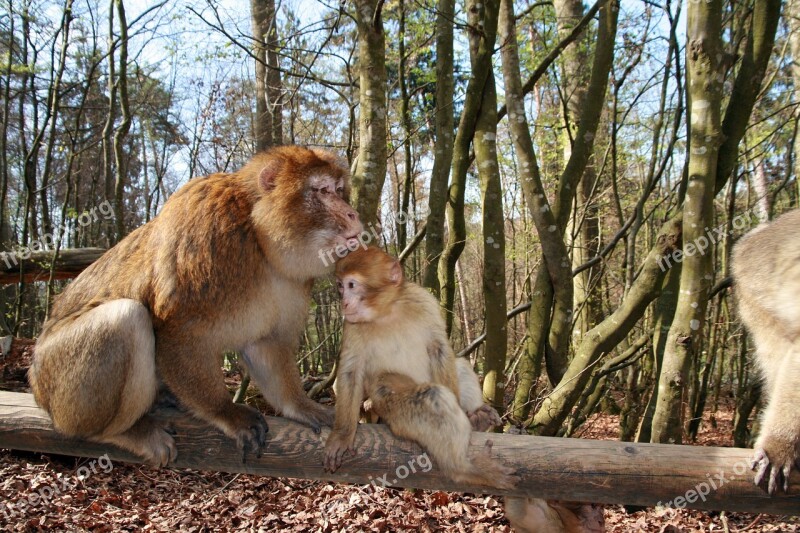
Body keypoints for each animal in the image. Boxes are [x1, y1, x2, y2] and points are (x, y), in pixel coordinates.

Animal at [28, 145, 362, 466]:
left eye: (339, 189)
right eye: (322, 191)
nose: (353, 214)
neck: (258, 237)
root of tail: (35, 380)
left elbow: (265, 344)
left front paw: (301, 406)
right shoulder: (207, 232)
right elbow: (179, 330)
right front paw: (226, 411)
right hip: (58, 382)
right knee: (125, 317)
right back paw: (120, 431)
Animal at [324, 247, 520, 488]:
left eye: (351, 285)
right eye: (340, 286)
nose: (344, 303)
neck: (387, 310)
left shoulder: (422, 299)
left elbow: (439, 348)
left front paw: (468, 412)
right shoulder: (351, 325)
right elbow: (351, 371)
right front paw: (343, 434)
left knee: (459, 366)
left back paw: (475, 419)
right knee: (420, 394)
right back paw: (463, 468)